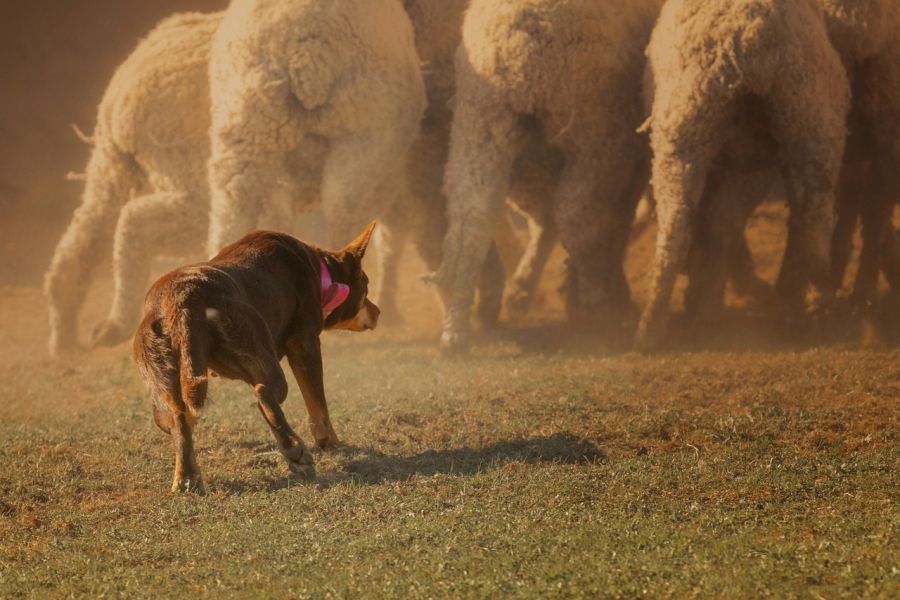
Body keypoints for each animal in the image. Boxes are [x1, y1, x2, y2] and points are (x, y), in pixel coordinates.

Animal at [133, 221, 380, 492]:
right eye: (366, 285)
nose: (378, 311)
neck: (318, 269)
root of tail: (184, 298)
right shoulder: (305, 343)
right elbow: (318, 405)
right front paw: (331, 442)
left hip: (165, 378)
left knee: (178, 416)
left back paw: (187, 477)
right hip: (260, 355)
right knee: (264, 393)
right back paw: (294, 451)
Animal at [428, 0, 660, 352]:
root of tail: (513, 48)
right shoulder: (628, 154)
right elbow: (614, 221)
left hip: (481, 125)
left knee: (473, 216)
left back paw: (457, 328)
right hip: (596, 134)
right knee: (575, 217)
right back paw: (598, 306)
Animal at [636, 0, 848, 352]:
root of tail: (756, 35)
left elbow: (717, 225)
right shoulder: (752, 162)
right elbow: (724, 224)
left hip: (683, 130)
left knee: (676, 224)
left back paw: (652, 325)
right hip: (810, 117)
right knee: (815, 214)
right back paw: (821, 310)